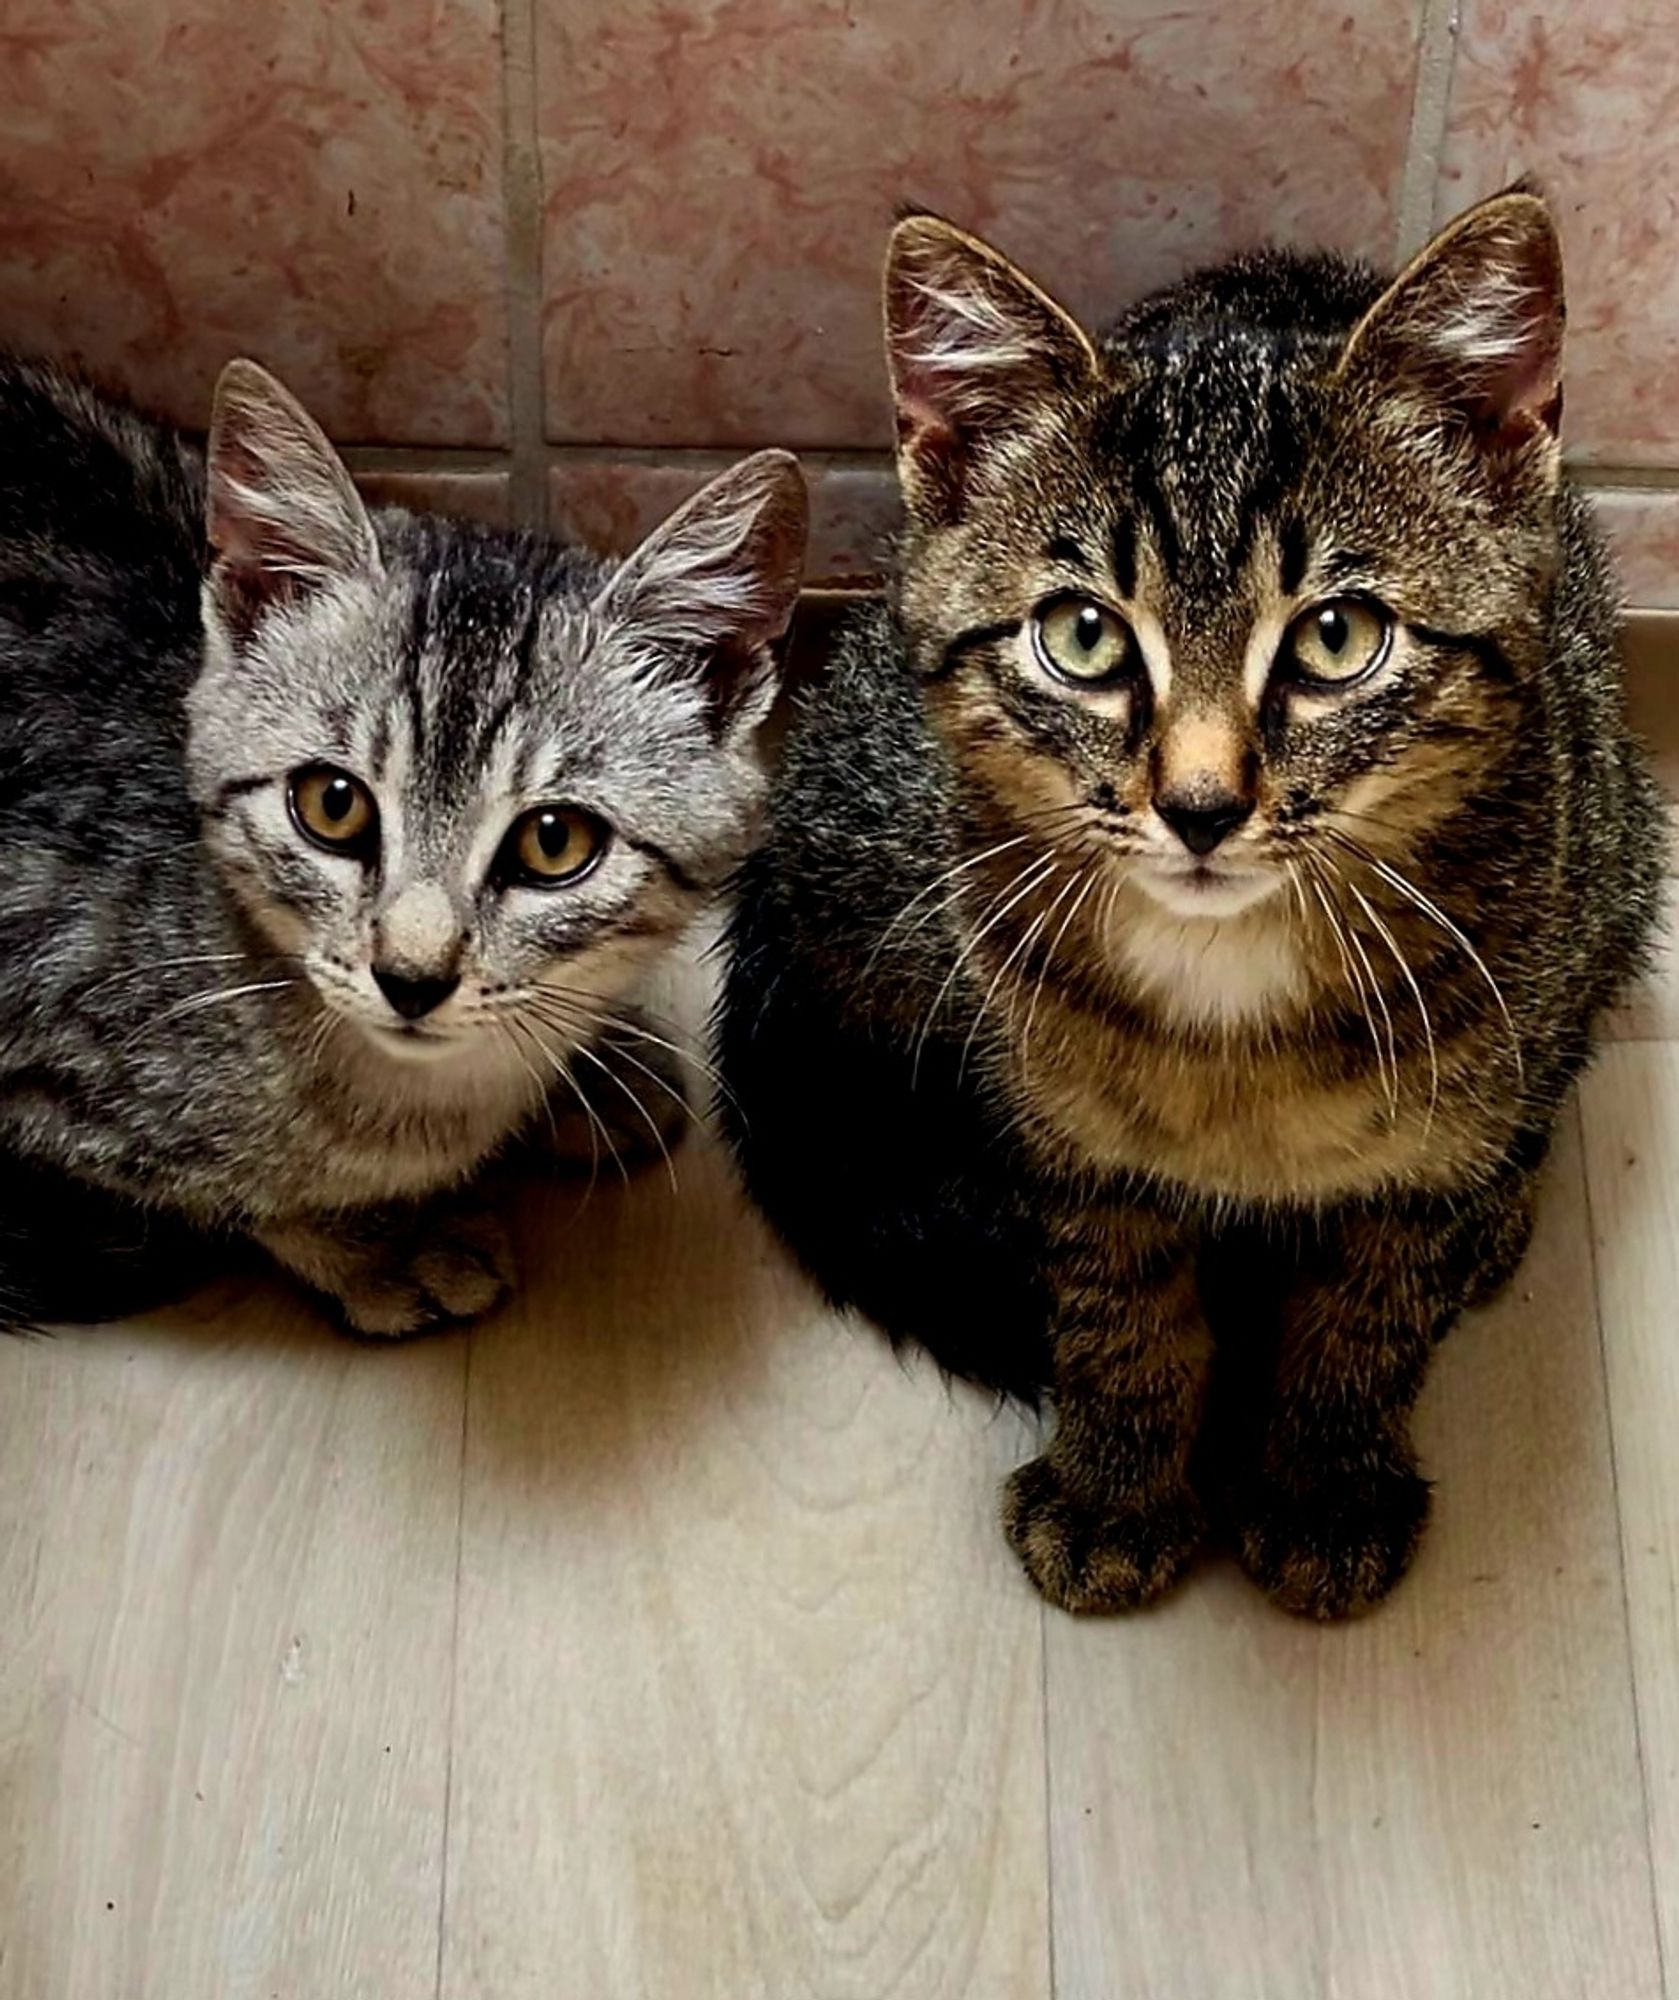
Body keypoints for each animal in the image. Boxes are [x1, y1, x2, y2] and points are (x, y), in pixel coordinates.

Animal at [0, 358, 807, 1336]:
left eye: (553, 842)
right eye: (332, 805)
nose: (412, 978)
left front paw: (594, 1067)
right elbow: (215, 1185)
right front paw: (379, 1240)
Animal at [719, 188, 1663, 1616]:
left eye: (1336, 636)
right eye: (1081, 636)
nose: (1202, 804)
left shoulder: (1464, 1070)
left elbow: (1370, 1306)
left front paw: (1324, 1481)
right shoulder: (1062, 1121)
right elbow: (1113, 1307)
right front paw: (1115, 1486)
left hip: (1615, 852)